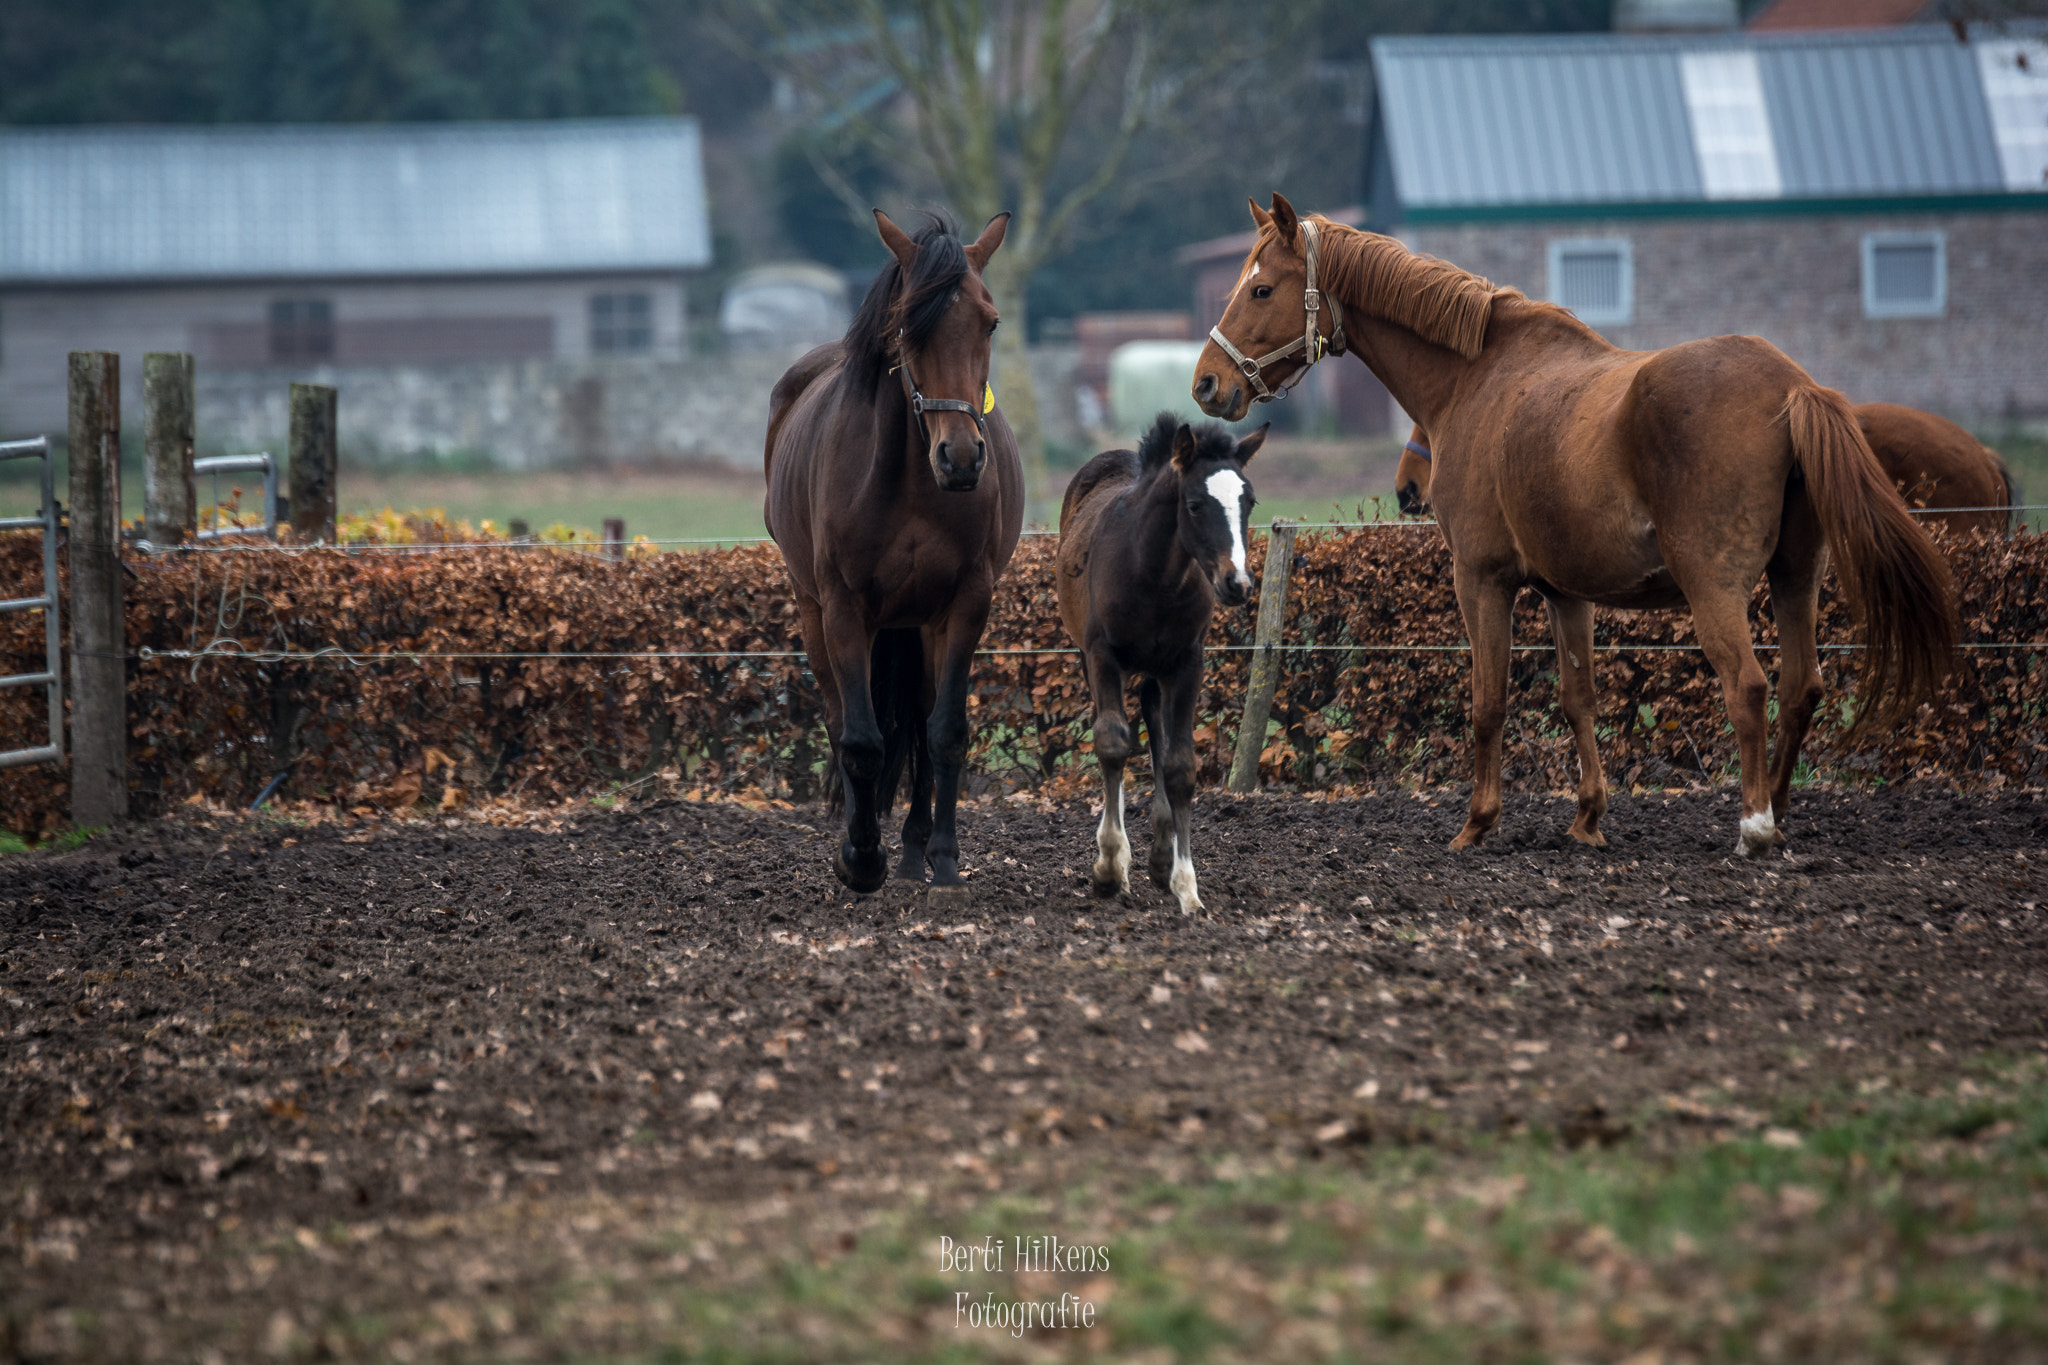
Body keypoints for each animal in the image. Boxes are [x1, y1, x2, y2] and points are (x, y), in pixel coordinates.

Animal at [770, 210, 1024, 896]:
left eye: (990, 321)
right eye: (910, 326)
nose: (960, 459)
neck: (909, 479)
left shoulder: (964, 604)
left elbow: (945, 732)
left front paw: (943, 858)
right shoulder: (842, 608)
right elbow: (859, 739)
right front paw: (860, 858)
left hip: (921, 623)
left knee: (922, 718)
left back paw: (912, 852)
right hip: (813, 609)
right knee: (842, 720)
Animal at [1056, 411, 1261, 912]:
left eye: (1249, 502)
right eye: (1194, 505)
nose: (1238, 583)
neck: (1154, 575)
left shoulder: (1187, 664)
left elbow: (1180, 765)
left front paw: (1187, 886)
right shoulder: (1102, 655)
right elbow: (1112, 743)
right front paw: (1110, 866)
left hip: (1155, 670)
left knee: (1153, 720)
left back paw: (1161, 854)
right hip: (1089, 658)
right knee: (1115, 731)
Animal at [1196, 194, 1957, 855]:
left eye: (1261, 290)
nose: (1207, 383)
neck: (1481, 378)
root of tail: (1790, 385)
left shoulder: (1481, 581)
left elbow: (1489, 701)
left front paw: (1478, 822)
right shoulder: (1567, 593)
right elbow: (1578, 698)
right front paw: (1588, 816)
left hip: (1715, 588)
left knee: (1748, 688)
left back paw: (1755, 824)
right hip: (1796, 579)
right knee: (1802, 689)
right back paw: (1781, 805)